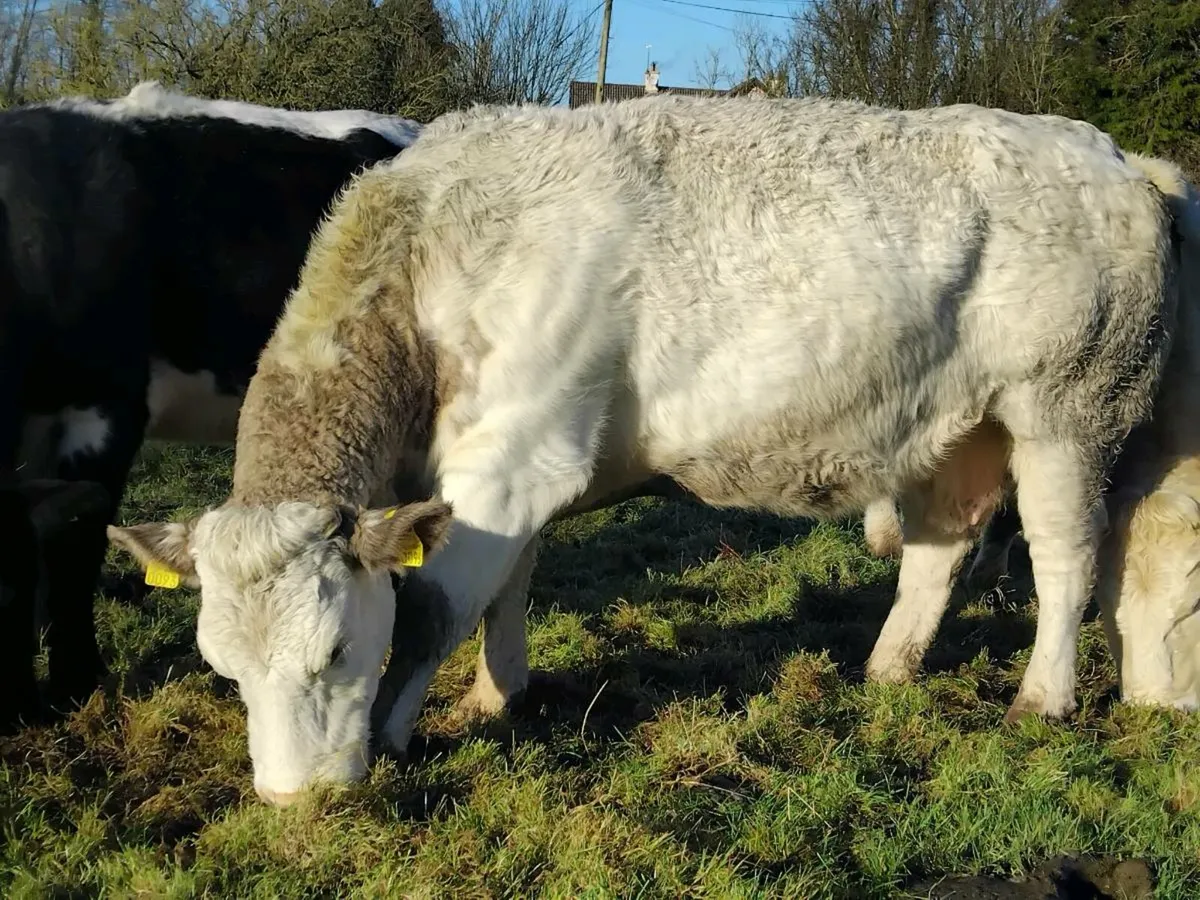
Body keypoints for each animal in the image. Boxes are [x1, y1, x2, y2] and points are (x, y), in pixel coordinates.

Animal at [108, 95, 1199, 807]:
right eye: (221, 668)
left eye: (335, 651)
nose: (297, 803)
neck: (439, 251)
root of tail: (1119, 160)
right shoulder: (497, 479)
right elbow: (505, 590)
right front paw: (495, 700)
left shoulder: (514, 460)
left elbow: (429, 612)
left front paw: (392, 730)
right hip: (957, 429)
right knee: (942, 551)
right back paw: (886, 674)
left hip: (1066, 412)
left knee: (1065, 558)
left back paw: (1041, 698)